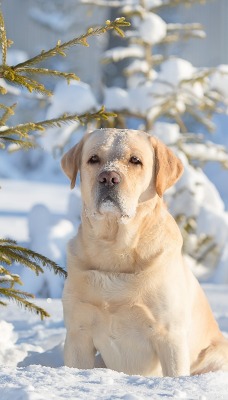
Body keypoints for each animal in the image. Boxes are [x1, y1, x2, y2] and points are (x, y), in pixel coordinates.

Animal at [61, 129, 228, 378]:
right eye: (93, 159)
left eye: (135, 160)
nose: (109, 177)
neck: (115, 250)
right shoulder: (78, 332)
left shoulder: (169, 335)